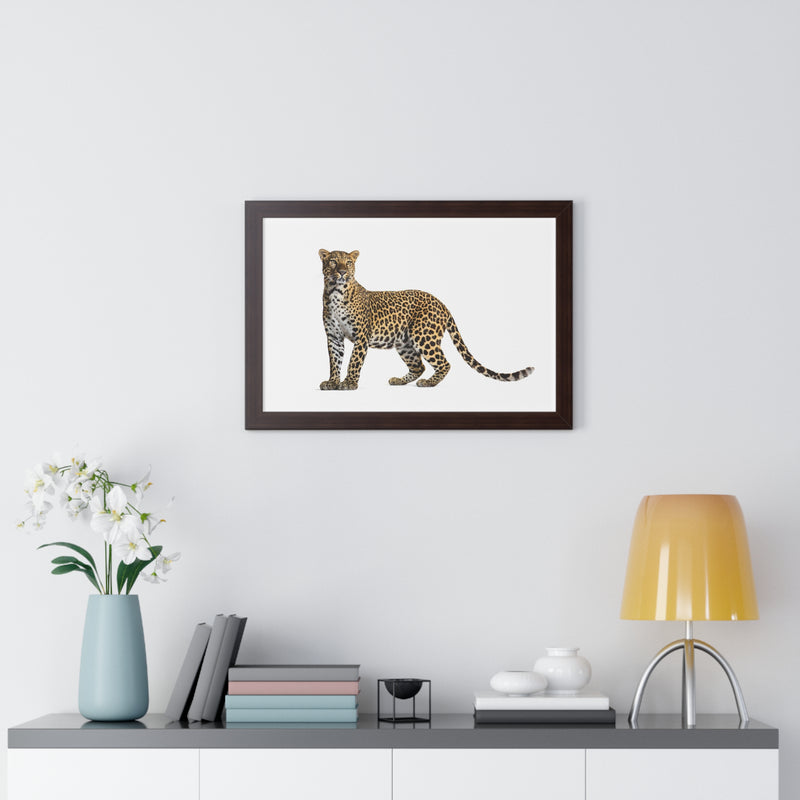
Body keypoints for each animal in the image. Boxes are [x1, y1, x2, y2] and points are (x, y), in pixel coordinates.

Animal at [319, 248, 534, 390]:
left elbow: (354, 361)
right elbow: (335, 360)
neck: (335, 292)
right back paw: (399, 380)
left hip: (424, 336)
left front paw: (349, 383)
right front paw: (332, 382)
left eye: (348, 263)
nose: (342, 272)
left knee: (444, 363)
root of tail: (441, 303)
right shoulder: (334, 336)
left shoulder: (361, 336)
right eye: (333, 261)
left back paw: (429, 383)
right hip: (405, 343)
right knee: (419, 365)